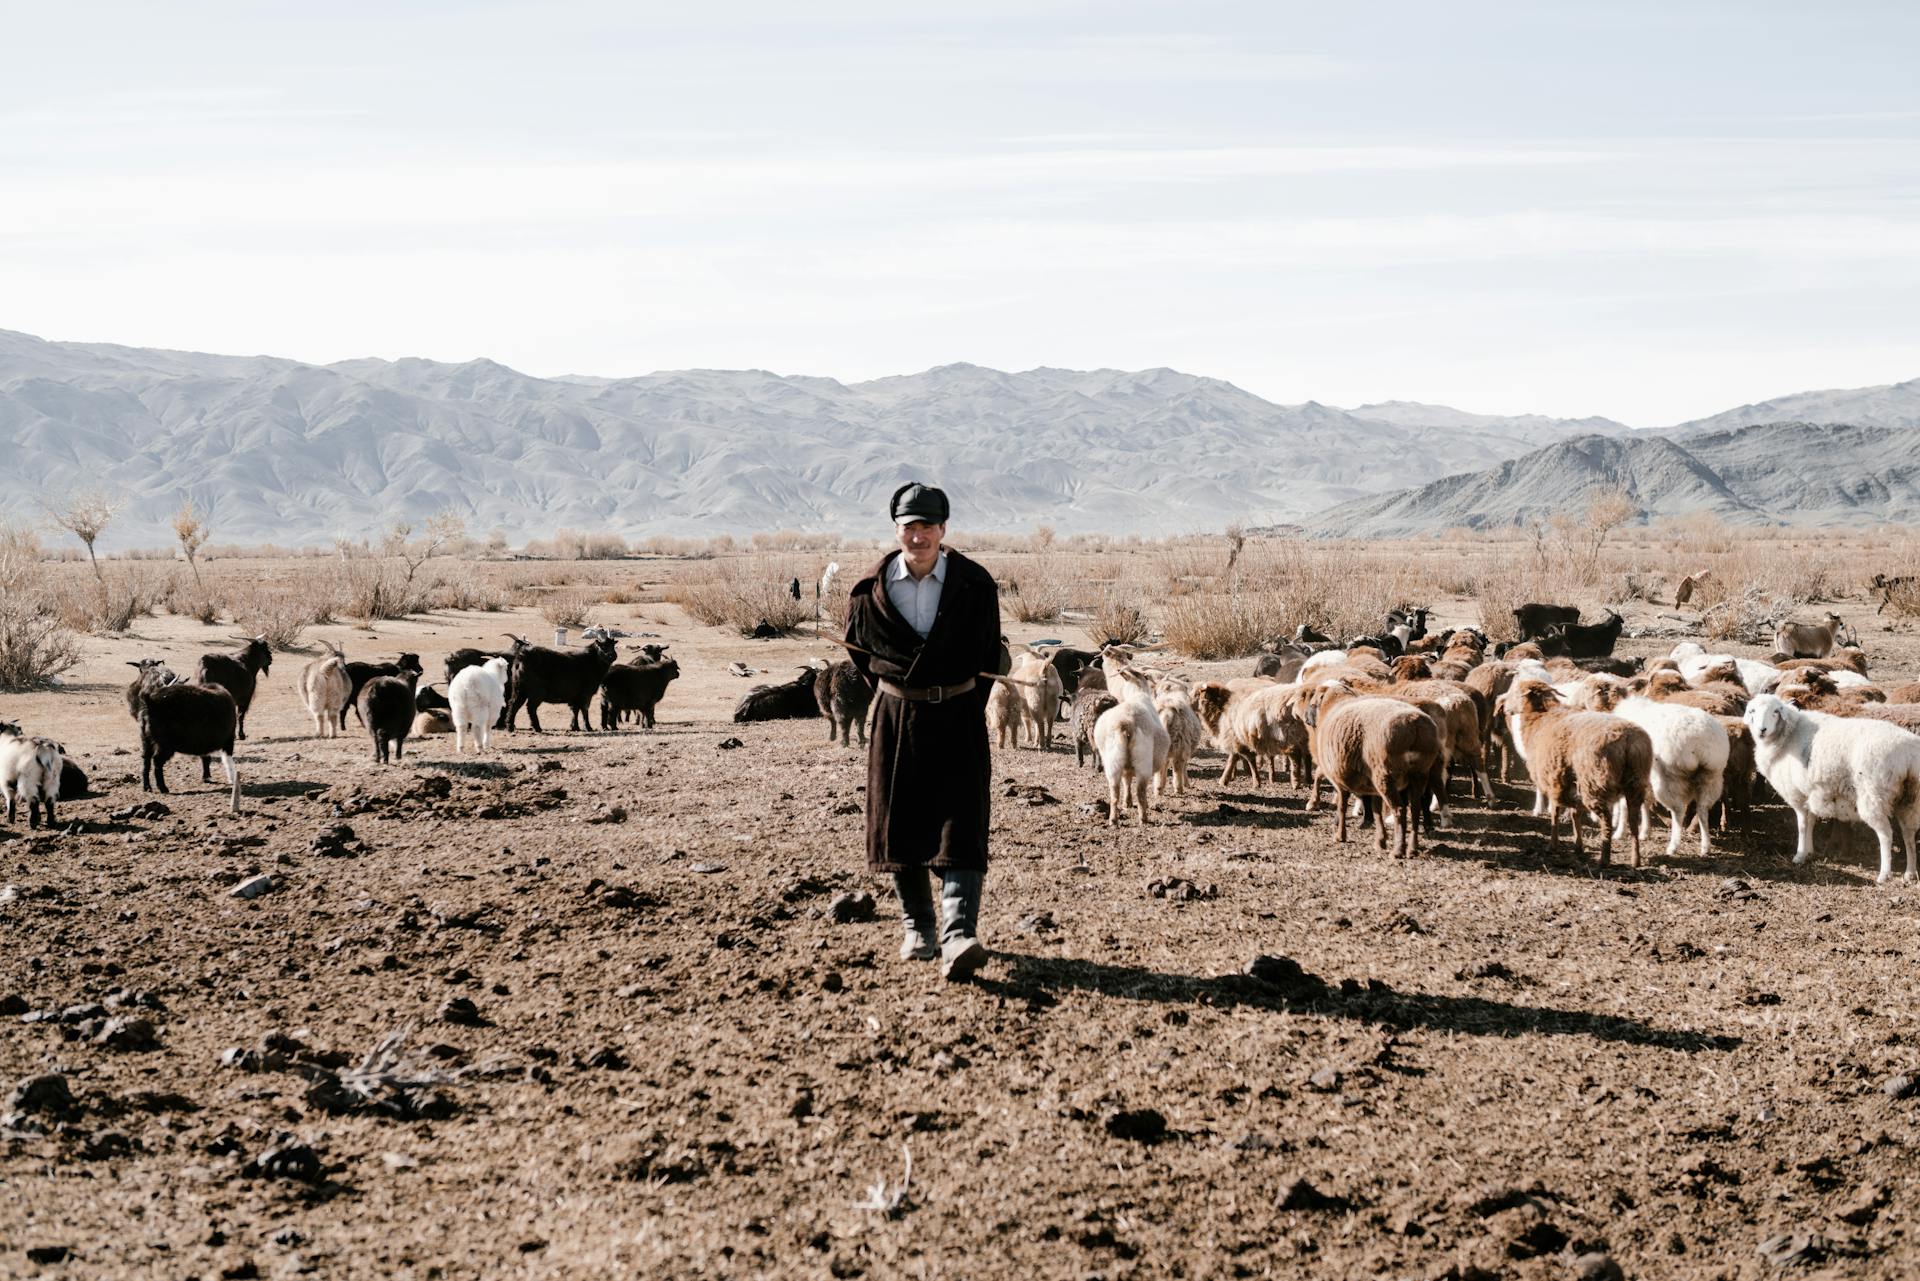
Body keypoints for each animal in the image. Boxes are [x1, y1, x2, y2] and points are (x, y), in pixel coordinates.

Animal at [136, 679, 241, 810]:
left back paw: (147, 788)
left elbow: (206, 758)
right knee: (157, 761)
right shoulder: (229, 739)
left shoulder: (203, 742)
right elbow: (228, 760)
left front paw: (207, 777)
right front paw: (232, 779)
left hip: (146, 740)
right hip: (166, 746)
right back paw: (163, 788)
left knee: (146, 760)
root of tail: (151, 702)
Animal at [1098, 668, 1167, 825]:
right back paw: (1143, 818)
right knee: (1140, 792)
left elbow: (1127, 781)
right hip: (1143, 761)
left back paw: (1113, 819)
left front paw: (1127, 803)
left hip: (1113, 761)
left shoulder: (1126, 766)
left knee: (1114, 793)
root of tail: (1126, 723)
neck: (1137, 693)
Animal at [1305, 679, 1443, 852]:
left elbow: (1341, 805)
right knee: (1416, 807)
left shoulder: (1339, 777)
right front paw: (1380, 840)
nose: (1306, 719)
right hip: (1419, 774)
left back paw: (1398, 849)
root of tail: (1414, 724)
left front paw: (1340, 835)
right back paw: (1413, 845)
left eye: (1312, 703)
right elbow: (1376, 810)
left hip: (1386, 775)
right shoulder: (1371, 785)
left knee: (1400, 809)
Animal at [1582, 672, 1735, 860]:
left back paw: (1673, 846)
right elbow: (1645, 802)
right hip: (1711, 775)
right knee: (1703, 809)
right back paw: (1705, 846)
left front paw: (1620, 832)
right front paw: (1644, 832)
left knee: (1678, 811)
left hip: (1670, 778)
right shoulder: (1643, 776)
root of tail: (1699, 739)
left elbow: (1626, 805)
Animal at [1751, 695, 1920, 887]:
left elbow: (1802, 825)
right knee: (1909, 833)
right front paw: (1810, 851)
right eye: (1752, 711)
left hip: (1873, 795)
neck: (1788, 735)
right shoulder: (1810, 792)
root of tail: (1908, 755)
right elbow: (1811, 822)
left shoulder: (1797, 795)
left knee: (1886, 835)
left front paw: (1799, 855)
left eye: (1775, 712)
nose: (1761, 730)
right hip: (1910, 798)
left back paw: (1884, 874)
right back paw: (1910, 873)